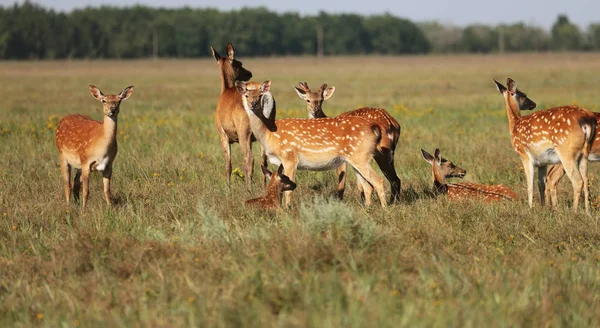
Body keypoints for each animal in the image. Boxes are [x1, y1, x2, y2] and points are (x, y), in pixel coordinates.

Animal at [210, 43, 268, 192]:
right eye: (240, 63)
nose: (249, 73)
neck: (225, 90)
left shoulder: (223, 135)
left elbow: (228, 165)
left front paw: (228, 189)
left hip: (243, 132)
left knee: (249, 159)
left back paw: (249, 189)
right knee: (263, 159)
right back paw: (264, 187)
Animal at [237, 80, 386, 206]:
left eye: (260, 95)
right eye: (246, 95)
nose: (253, 104)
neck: (269, 134)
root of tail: (373, 128)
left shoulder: (290, 157)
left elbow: (288, 190)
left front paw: (286, 209)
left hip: (360, 156)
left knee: (378, 181)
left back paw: (384, 210)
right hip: (356, 158)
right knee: (367, 186)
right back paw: (367, 209)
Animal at [494, 77, 596, 213]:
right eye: (524, 95)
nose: (533, 104)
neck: (515, 124)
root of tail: (587, 120)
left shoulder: (524, 154)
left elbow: (530, 183)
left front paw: (530, 208)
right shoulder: (542, 162)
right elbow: (541, 184)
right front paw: (544, 207)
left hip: (567, 152)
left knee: (578, 181)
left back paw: (574, 211)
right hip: (584, 153)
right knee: (585, 179)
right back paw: (587, 212)